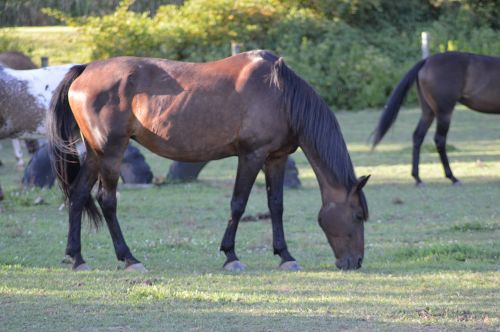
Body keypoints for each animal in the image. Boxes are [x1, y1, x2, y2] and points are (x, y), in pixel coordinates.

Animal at [48, 50, 370, 272]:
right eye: (357, 216)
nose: (355, 262)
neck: (280, 94)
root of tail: (85, 69)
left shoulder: (276, 158)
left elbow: (276, 206)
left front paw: (285, 256)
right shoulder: (251, 156)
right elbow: (238, 204)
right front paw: (231, 256)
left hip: (95, 153)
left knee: (78, 195)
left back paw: (77, 258)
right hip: (111, 152)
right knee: (107, 200)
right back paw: (129, 258)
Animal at [372, 52, 500, 187]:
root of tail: (427, 61)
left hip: (428, 113)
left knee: (418, 136)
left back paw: (418, 178)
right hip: (444, 113)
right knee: (439, 140)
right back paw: (452, 178)